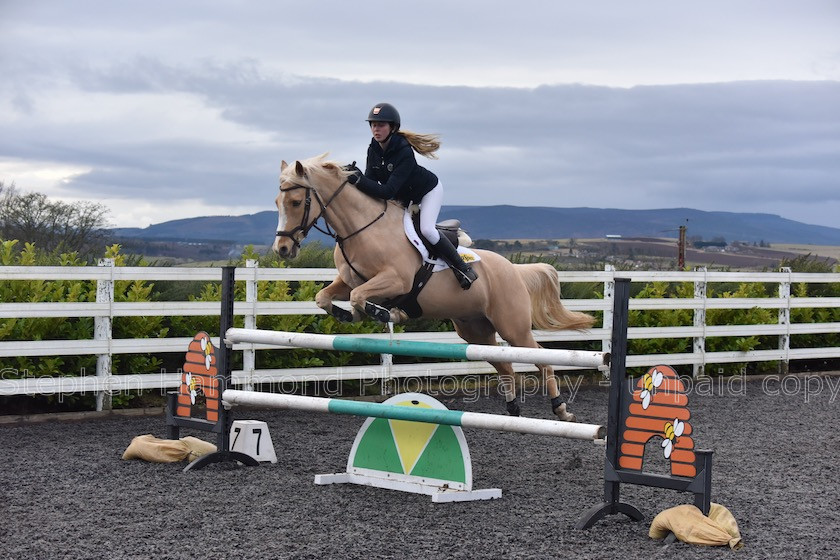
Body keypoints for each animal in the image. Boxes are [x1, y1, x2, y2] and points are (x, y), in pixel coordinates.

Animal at [272, 153, 592, 420]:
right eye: (277, 203)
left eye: (297, 202)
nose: (282, 249)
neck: (362, 229)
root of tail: (513, 269)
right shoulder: (349, 279)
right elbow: (325, 297)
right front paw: (349, 315)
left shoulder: (395, 280)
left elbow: (359, 297)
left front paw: (386, 313)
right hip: (475, 330)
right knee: (505, 366)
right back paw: (513, 410)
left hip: (513, 328)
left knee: (542, 360)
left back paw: (561, 409)